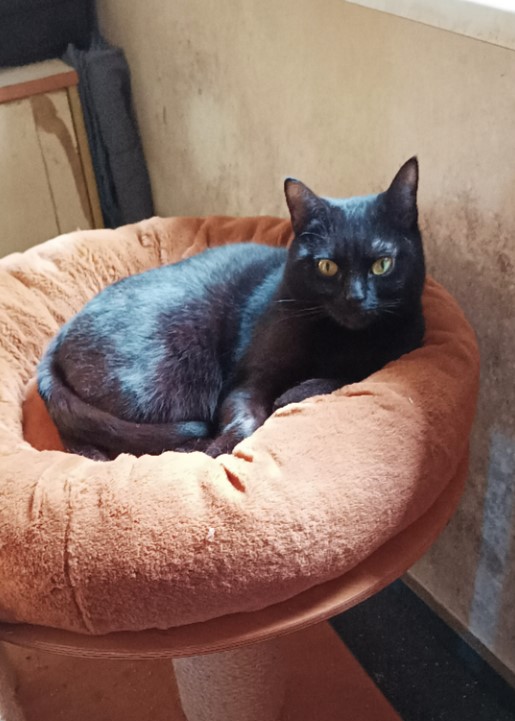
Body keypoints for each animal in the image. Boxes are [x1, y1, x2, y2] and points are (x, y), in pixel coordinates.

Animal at [37, 157, 426, 461]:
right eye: (327, 266)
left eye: (382, 264)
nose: (354, 298)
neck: (339, 338)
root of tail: (59, 338)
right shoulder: (246, 381)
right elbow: (247, 420)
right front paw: (215, 454)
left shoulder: (396, 350)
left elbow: (341, 377)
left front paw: (294, 393)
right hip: (160, 386)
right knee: (99, 433)